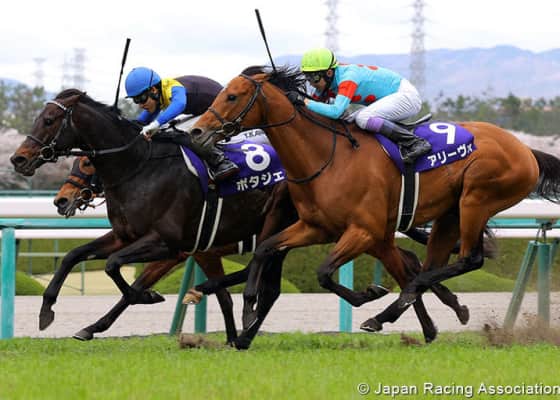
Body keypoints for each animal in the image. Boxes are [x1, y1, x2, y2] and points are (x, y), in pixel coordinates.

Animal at [188, 66, 560, 349]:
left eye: (232, 96)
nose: (197, 130)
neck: (327, 157)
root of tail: (526, 150)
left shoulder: (363, 231)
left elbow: (324, 273)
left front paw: (368, 293)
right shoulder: (316, 227)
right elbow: (265, 248)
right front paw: (248, 308)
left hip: (476, 199)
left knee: (468, 259)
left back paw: (391, 310)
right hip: (450, 214)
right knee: (427, 267)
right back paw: (409, 311)